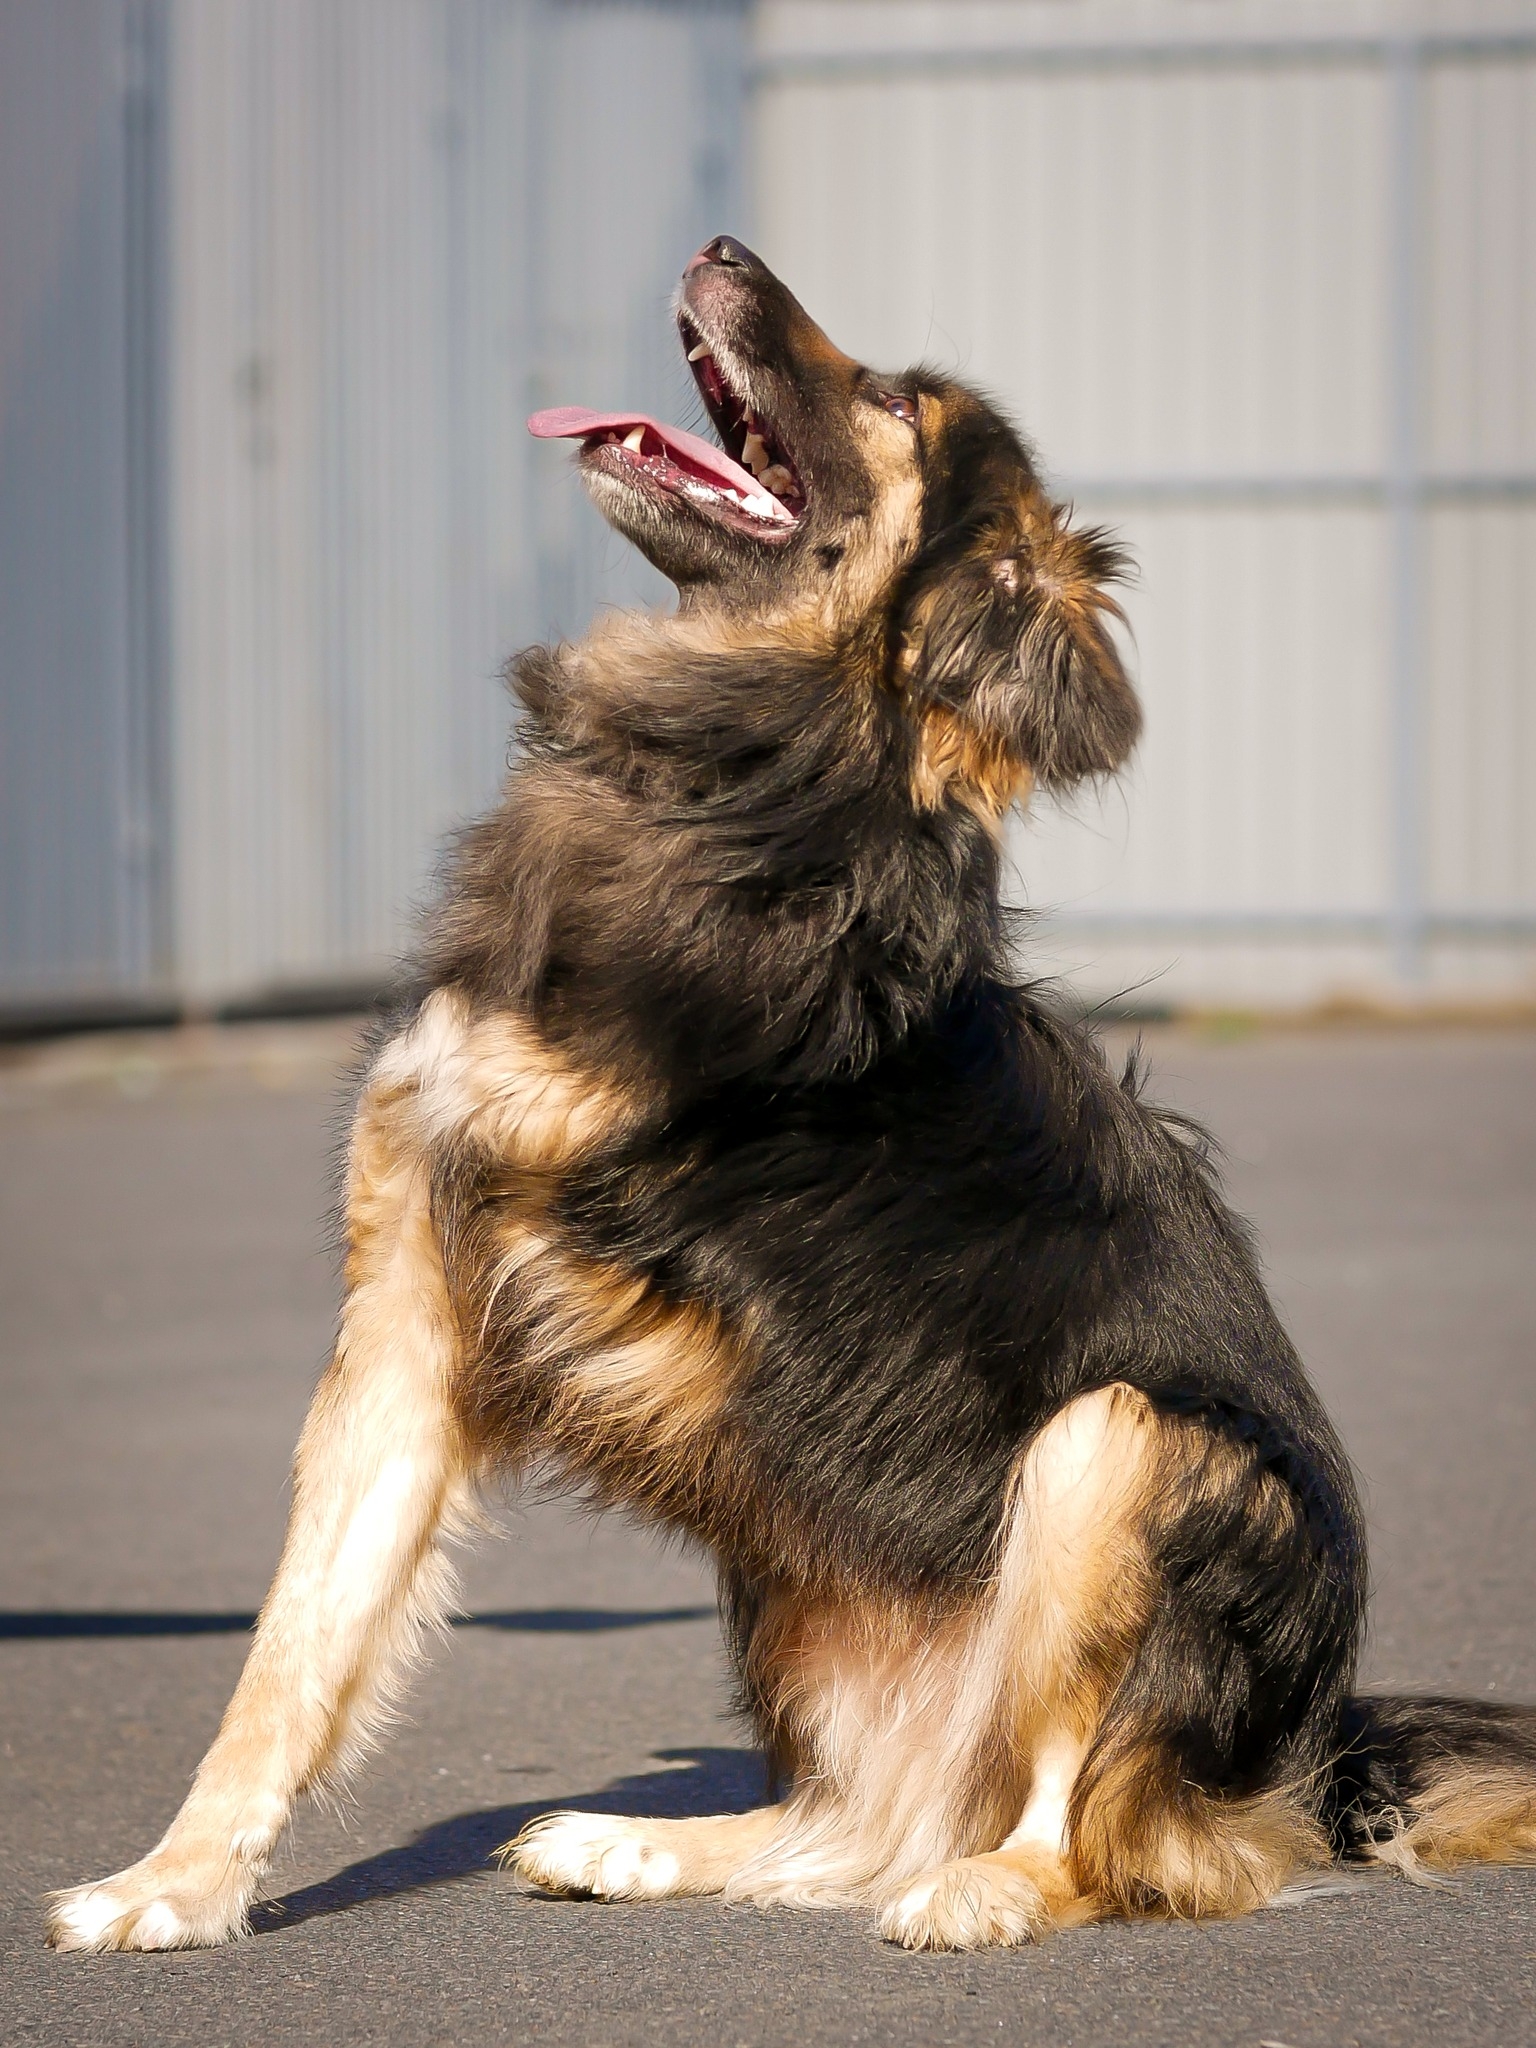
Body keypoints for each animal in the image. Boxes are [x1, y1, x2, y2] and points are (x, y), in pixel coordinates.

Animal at [48, 235, 1536, 1949]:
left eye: (894, 402)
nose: (719, 248)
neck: (732, 781)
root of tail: (1309, 1756)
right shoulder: (407, 1316)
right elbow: (289, 1650)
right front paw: (174, 1885)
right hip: (797, 1567)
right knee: (856, 1821)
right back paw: (646, 1843)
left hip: (1123, 1446)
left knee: (1090, 1836)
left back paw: (984, 1889)